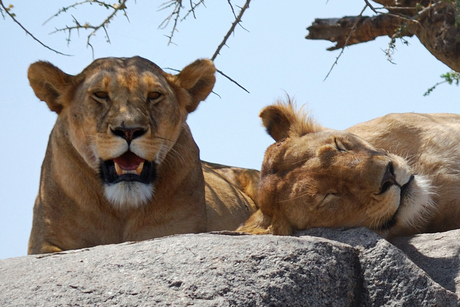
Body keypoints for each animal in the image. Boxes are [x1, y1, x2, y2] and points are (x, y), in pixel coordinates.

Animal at [27, 57, 258, 255]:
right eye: (100, 94)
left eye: (154, 95)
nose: (129, 130)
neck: (122, 210)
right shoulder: (44, 243)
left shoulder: (178, 230)